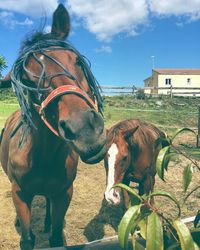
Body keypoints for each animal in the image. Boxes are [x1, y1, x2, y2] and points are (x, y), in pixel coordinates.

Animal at [0, 4, 107, 250]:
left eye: (77, 61)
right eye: (28, 81)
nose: (86, 131)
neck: (43, 155)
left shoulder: (63, 193)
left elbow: (57, 237)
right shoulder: (20, 194)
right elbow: (27, 239)